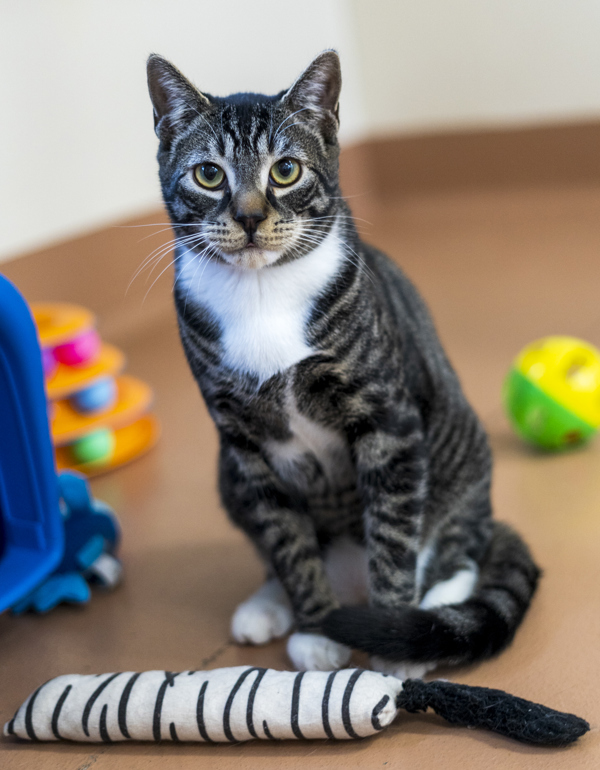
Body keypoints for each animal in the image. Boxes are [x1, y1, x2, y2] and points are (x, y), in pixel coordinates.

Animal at [145, 51, 540, 676]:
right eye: (208, 175)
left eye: (285, 171)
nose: (250, 217)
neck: (262, 297)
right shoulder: (245, 446)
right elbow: (286, 540)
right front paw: (316, 630)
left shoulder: (389, 422)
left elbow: (394, 538)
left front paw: (394, 644)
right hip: (227, 473)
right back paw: (269, 605)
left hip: (461, 455)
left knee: (461, 552)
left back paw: (435, 606)